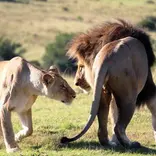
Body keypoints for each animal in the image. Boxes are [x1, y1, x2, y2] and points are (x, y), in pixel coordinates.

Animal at [61, 20, 156, 148]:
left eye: (81, 67)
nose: (76, 82)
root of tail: (106, 59)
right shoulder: (148, 86)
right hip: (129, 95)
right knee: (118, 127)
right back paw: (130, 144)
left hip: (102, 90)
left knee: (103, 118)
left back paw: (110, 143)